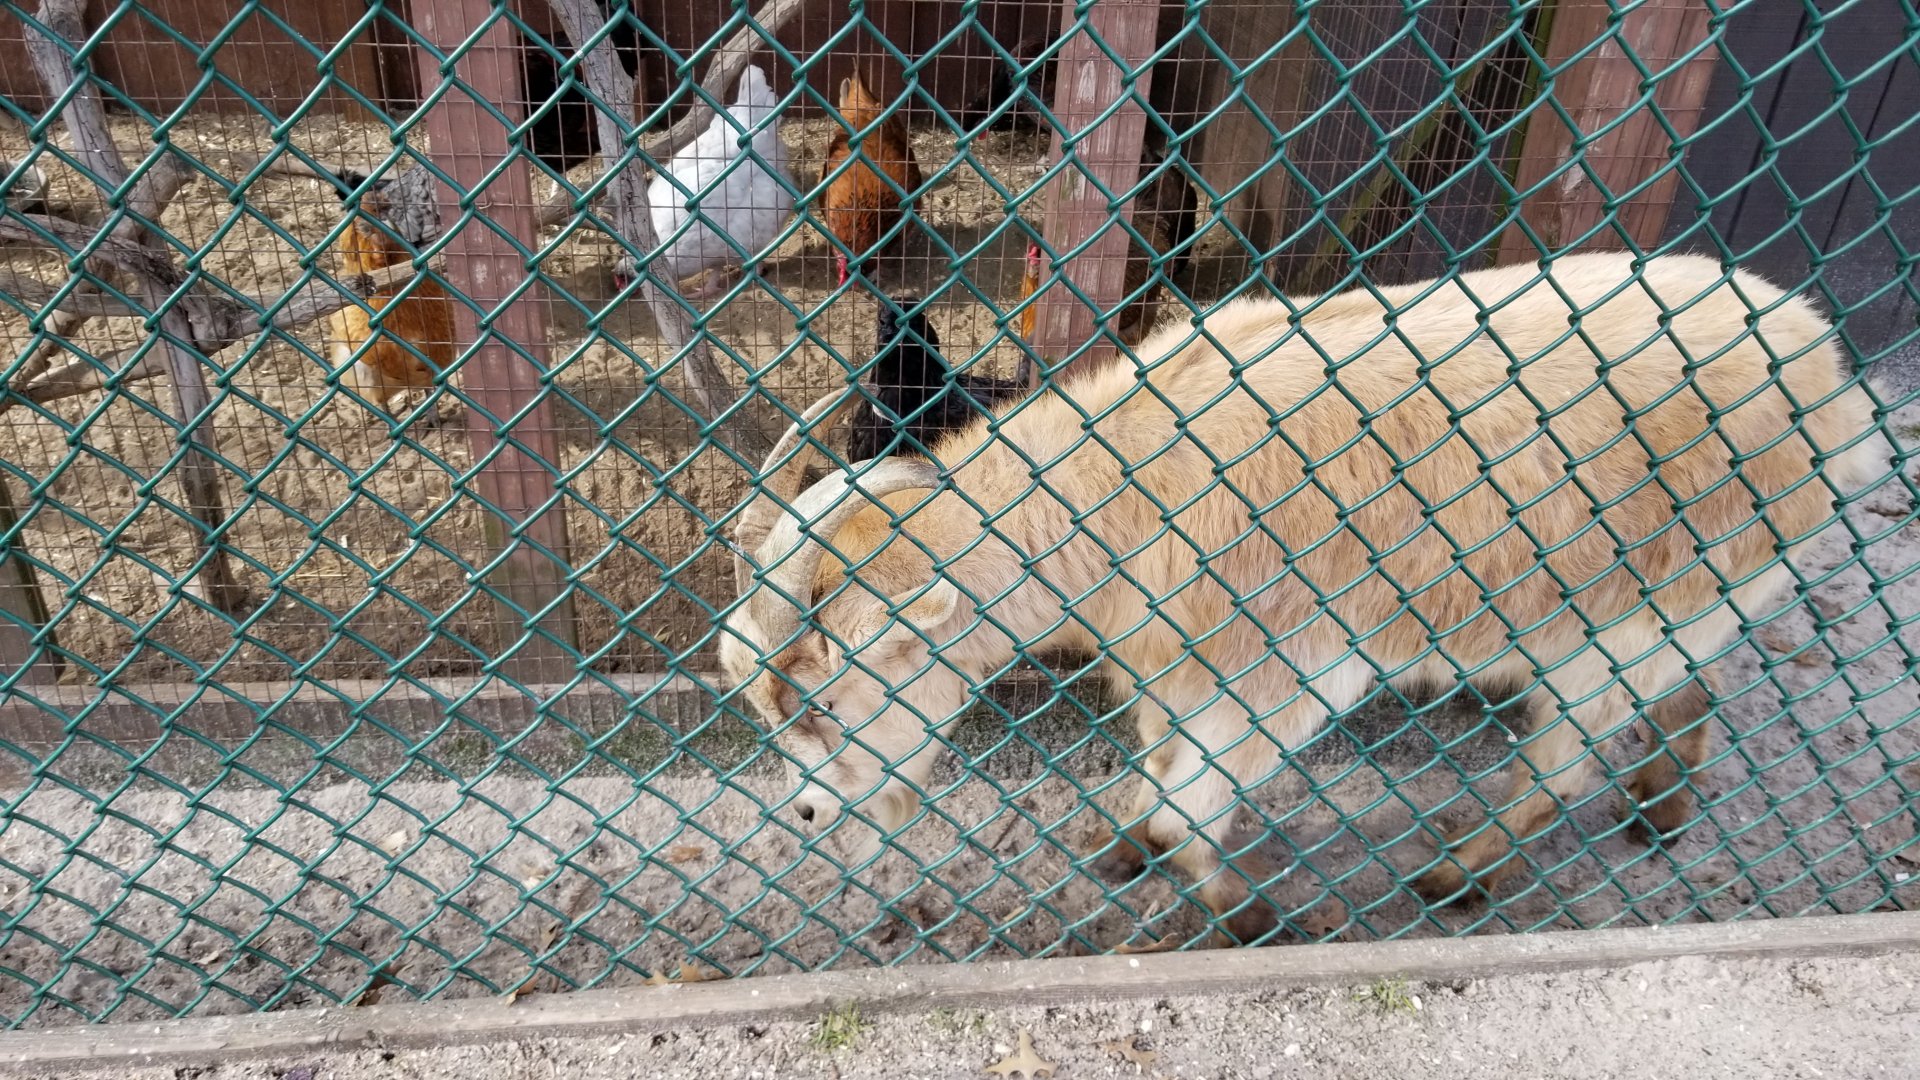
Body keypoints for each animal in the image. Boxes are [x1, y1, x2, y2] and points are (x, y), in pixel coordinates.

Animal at [719, 252, 1881, 944]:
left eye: (829, 700)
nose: (810, 813)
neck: (1122, 486)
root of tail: (1825, 370)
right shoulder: (1173, 667)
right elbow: (1159, 767)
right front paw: (1127, 846)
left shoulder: (1286, 666)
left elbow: (1195, 797)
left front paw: (1243, 914)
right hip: (1677, 601)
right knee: (1688, 690)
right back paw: (1661, 809)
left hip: (1636, 613)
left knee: (1568, 753)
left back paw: (1459, 875)